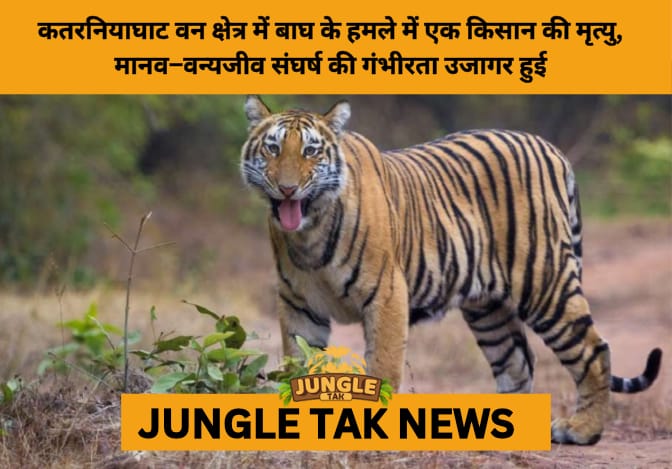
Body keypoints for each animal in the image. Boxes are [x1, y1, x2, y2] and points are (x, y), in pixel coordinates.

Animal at [240, 95, 662, 445]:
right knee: (518, 362)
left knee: (594, 350)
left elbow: (383, 367)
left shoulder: (387, 295)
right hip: (488, 309)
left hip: (545, 282)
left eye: (311, 151)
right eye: (273, 148)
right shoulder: (299, 306)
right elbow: (298, 364)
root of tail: (550, 148)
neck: (309, 230)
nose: (287, 188)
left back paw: (582, 430)